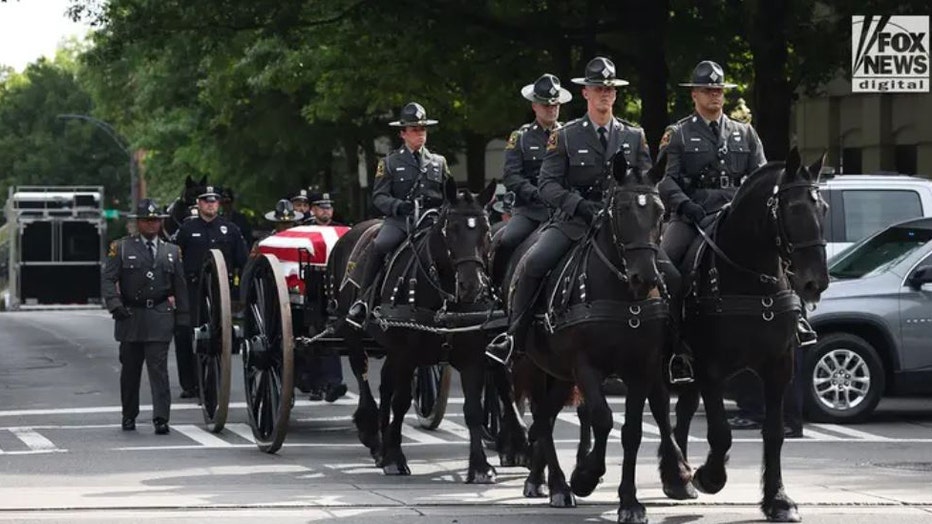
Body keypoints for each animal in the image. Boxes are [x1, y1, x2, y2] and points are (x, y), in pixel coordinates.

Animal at [328, 180, 502, 484]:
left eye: (486, 230)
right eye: (451, 229)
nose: (472, 286)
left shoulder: (472, 357)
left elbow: (473, 410)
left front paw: (480, 466)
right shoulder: (407, 354)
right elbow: (401, 401)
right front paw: (395, 458)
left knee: (385, 385)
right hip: (354, 334)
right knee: (363, 375)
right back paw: (373, 436)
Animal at [502, 152, 692, 520]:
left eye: (660, 211)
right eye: (622, 210)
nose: (646, 277)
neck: (622, 294)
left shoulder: (642, 367)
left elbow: (632, 431)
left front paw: (629, 501)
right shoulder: (585, 366)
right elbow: (603, 418)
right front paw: (586, 475)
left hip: (560, 374)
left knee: (546, 417)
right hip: (535, 364)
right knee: (542, 418)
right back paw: (557, 485)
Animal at [668, 146, 832, 520]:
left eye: (824, 208)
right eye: (794, 208)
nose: (815, 282)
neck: (751, 280)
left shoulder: (779, 367)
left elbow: (774, 433)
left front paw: (778, 499)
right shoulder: (710, 368)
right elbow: (720, 432)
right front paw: (710, 476)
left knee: (683, 409)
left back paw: (678, 479)